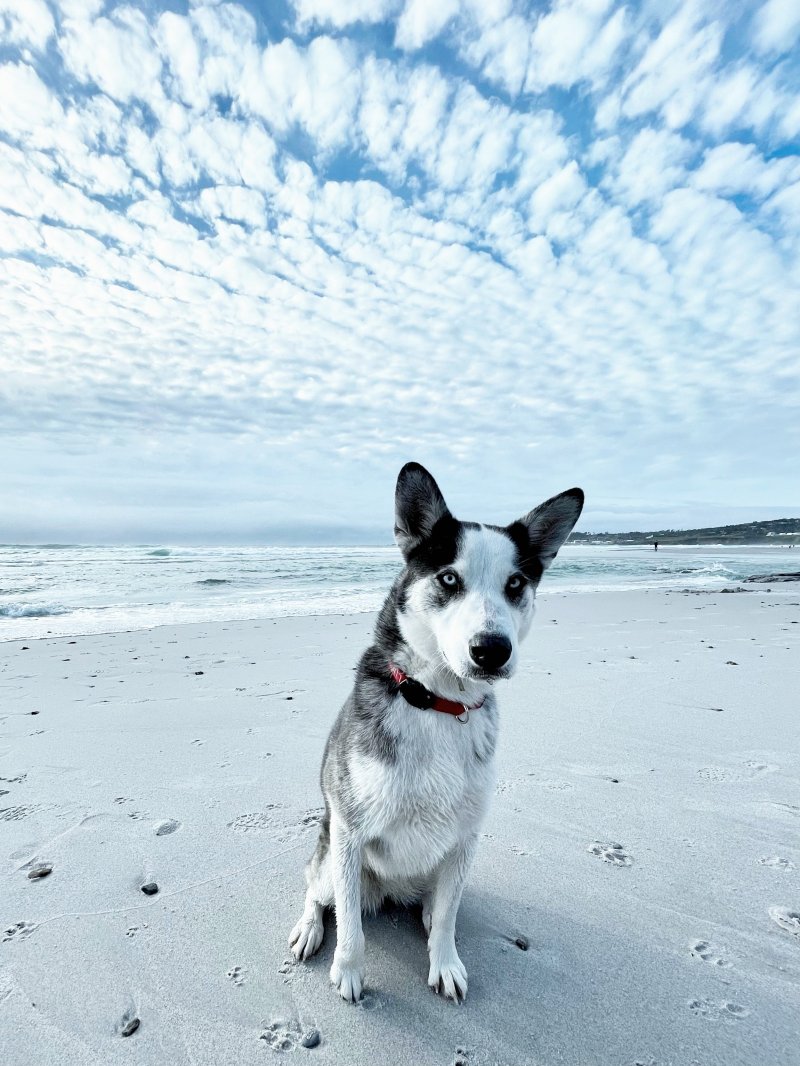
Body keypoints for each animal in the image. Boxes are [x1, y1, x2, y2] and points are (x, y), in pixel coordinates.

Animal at [288, 462, 584, 1002]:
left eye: (515, 584)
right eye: (449, 578)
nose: (492, 650)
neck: (439, 704)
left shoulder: (465, 840)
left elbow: (447, 917)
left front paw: (444, 961)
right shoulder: (349, 834)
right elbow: (352, 927)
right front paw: (349, 970)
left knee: (437, 905)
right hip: (328, 854)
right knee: (321, 895)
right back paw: (310, 928)